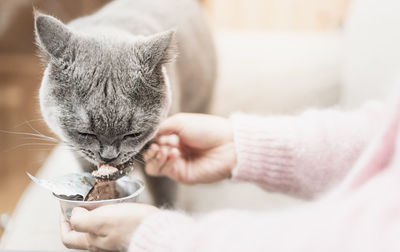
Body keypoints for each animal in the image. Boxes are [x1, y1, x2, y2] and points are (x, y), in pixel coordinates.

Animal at [34, 0, 216, 206]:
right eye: (85, 133)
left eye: (133, 134)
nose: (109, 156)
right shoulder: (79, 155)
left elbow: (165, 191)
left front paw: (165, 208)